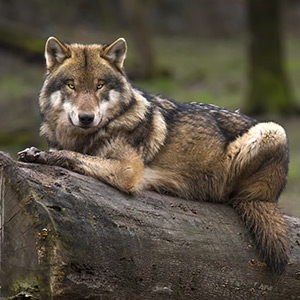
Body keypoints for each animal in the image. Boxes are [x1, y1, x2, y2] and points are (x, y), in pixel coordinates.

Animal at [18, 37, 288, 274]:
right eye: (71, 85)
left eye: (99, 85)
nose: (86, 118)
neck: (86, 136)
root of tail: (271, 195)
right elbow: (69, 152)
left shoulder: (127, 171)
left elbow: (71, 155)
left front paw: (41, 156)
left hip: (273, 130)